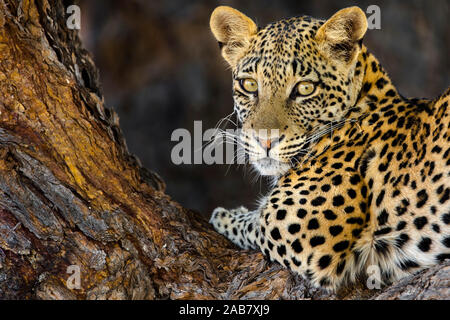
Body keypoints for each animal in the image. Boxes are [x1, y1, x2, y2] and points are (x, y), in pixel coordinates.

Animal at [207, 5, 450, 290]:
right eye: (250, 85)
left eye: (305, 88)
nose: (265, 141)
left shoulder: (294, 232)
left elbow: (252, 222)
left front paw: (224, 214)